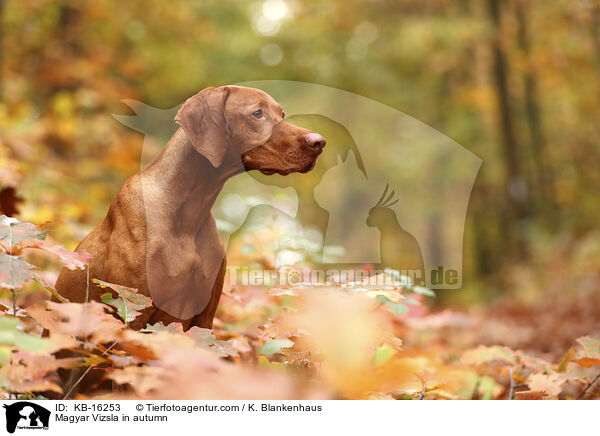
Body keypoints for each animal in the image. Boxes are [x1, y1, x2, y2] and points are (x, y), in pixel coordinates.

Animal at [54, 85, 326, 330]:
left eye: (282, 114)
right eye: (257, 113)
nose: (319, 142)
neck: (189, 211)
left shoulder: (205, 316)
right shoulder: (131, 310)